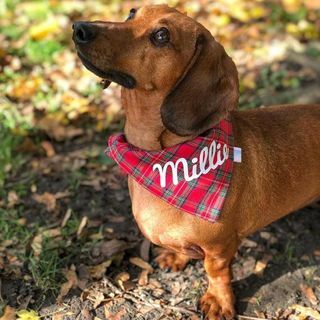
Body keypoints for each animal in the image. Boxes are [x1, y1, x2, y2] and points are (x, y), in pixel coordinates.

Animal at [72, 4, 320, 318]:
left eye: (162, 36)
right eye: (131, 13)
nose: (78, 28)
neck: (160, 160)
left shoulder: (220, 246)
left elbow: (216, 272)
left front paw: (219, 301)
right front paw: (177, 258)